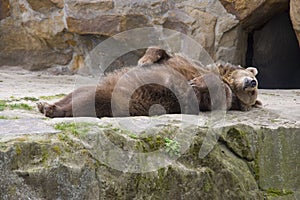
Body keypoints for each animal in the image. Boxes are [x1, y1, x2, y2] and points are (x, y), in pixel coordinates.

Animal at [37, 47, 262, 118]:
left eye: (253, 93)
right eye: (255, 85)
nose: (251, 82)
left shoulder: (210, 97)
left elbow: (218, 95)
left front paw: (195, 84)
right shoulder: (185, 61)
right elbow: (160, 53)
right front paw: (144, 61)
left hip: (117, 99)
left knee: (88, 101)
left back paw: (52, 109)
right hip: (105, 85)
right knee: (79, 92)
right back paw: (45, 104)